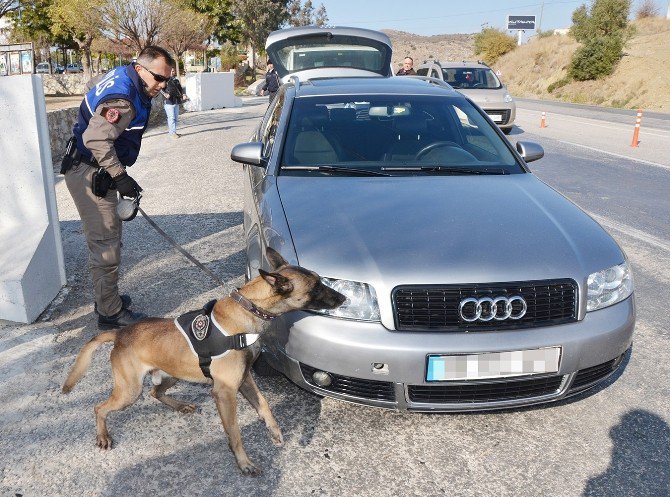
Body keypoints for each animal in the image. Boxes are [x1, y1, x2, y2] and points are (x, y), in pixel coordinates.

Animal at [64, 250, 346, 474]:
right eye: (316, 286)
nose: (344, 299)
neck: (247, 310)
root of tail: (121, 334)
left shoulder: (245, 378)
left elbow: (264, 405)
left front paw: (274, 431)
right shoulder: (225, 392)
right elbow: (235, 432)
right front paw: (244, 463)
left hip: (172, 374)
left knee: (155, 392)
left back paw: (179, 405)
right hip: (130, 391)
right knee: (100, 408)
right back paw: (103, 436)